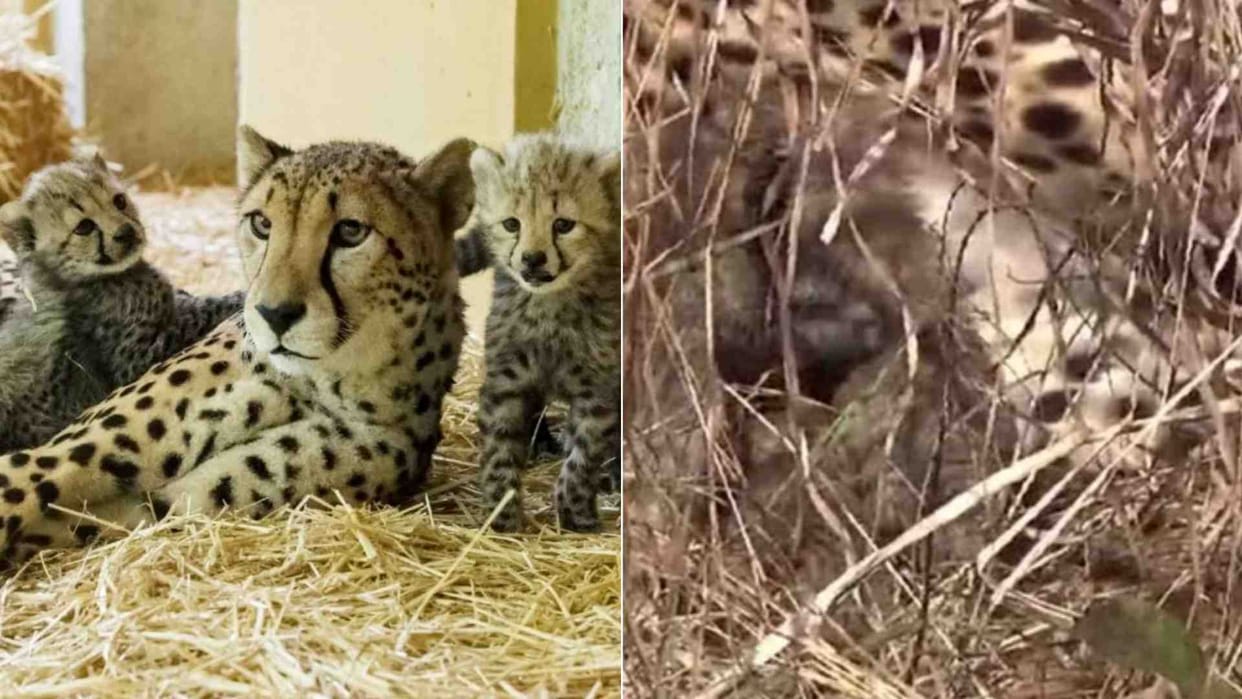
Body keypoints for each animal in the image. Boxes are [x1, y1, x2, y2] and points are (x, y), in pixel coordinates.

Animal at [0, 154, 245, 453]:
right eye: (84, 227)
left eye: (119, 201)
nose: (126, 232)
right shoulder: (136, 357)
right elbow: (201, 312)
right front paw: (239, 297)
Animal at [460, 133, 621, 532]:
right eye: (511, 224)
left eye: (563, 225)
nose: (532, 259)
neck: (550, 306)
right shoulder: (506, 382)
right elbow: (499, 451)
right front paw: (502, 517)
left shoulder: (597, 390)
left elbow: (582, 458)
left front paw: (576, 512)